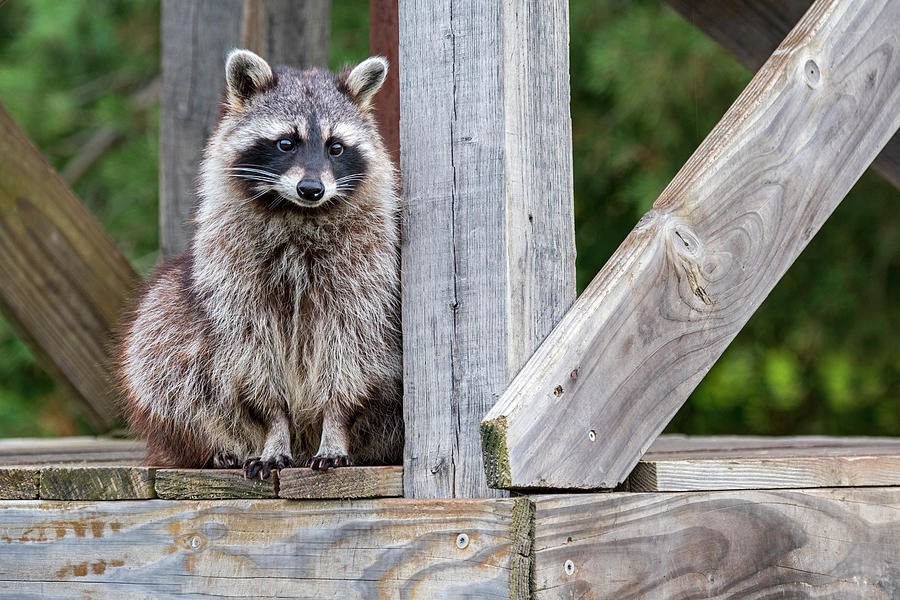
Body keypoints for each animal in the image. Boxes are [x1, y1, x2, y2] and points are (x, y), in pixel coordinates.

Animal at [116, 49, 400, 478]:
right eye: (286, 143)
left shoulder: (365, 278)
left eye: (335, 147)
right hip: (177, 310)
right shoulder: (231, 278)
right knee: (160, 346)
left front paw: (335, 425)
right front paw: (274, 431)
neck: (299, 214)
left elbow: (351, 351)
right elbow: (251, 357)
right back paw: (213, 447)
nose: (312, 189)